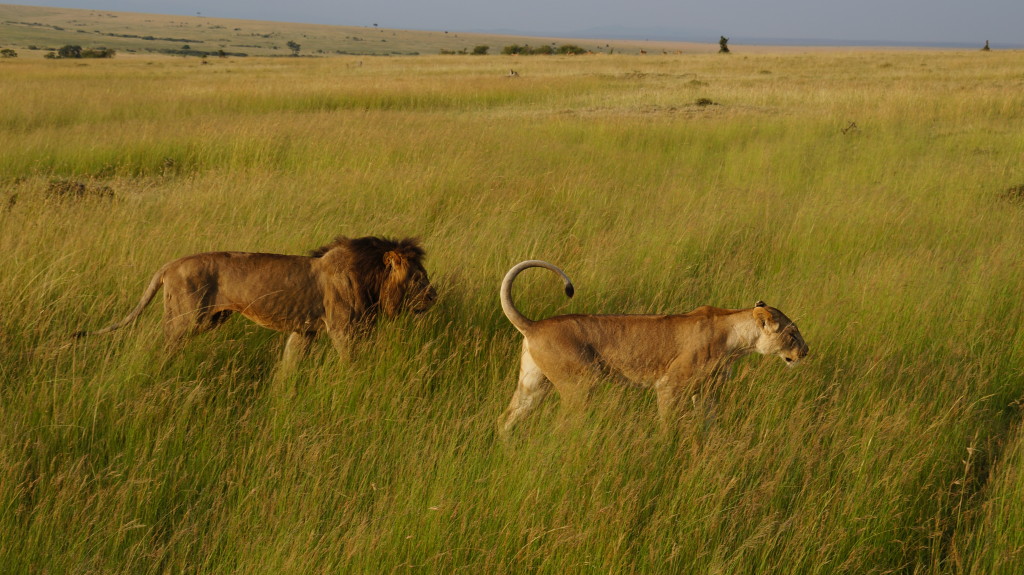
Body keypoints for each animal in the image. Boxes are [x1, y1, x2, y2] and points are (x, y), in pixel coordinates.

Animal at [74, 235, 436, 368]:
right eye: (419, 278)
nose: (434, 296)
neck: (369, 279)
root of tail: (170, 264)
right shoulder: (342, 329)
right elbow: (352, 361)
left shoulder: (305, 331)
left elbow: (289, 365)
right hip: (185, 318)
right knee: (158, 343)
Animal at [495, 257, 806, 431]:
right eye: (792, 334)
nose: (806, 352)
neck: (736, 339)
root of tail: (534, 325)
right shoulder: (669, 386)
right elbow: (669, 424)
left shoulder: (707, 391)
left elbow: (709, 425)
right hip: (581, 384)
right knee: (564, 425)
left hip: (534, 383)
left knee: (506, 419)